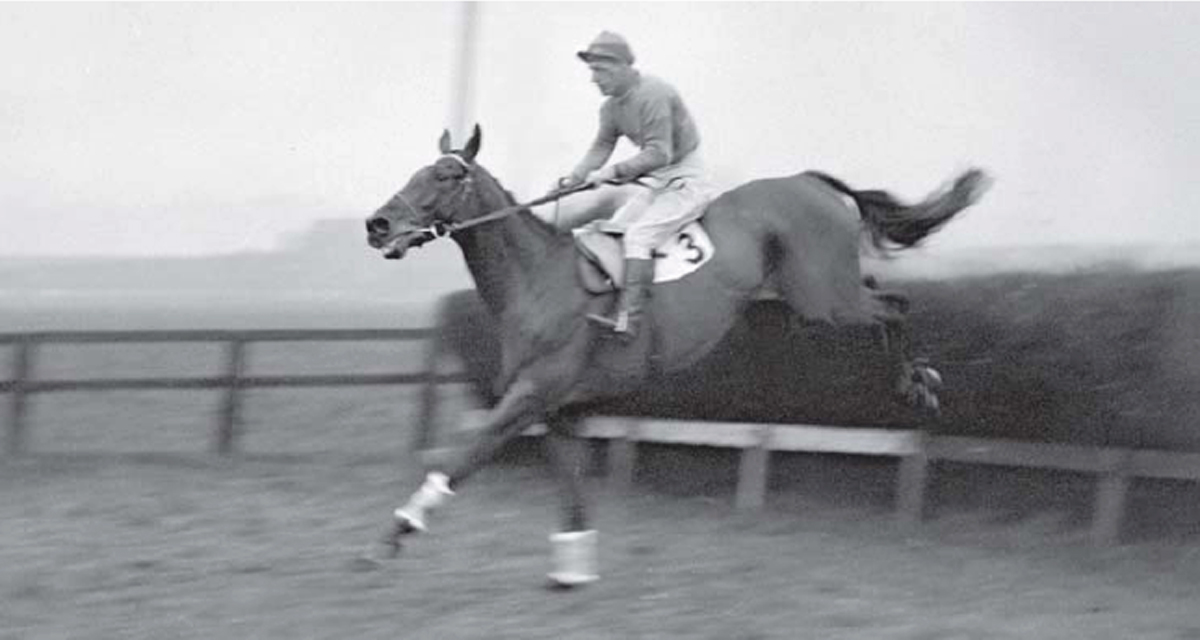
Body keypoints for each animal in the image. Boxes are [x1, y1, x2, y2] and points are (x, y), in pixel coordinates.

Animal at [367, 122, 993, 585]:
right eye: (416, 171)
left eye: (445, 174)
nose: (378, 224)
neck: (538, 280)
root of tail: (808, 181)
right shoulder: (560, 411)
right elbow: (572, 496)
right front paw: (573, 572)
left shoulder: (528, 396)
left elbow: (461, 459)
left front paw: (396, 531)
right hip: (793, 301)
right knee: (885, 295)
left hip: (826, 300)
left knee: (895, 306)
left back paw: (921, 381)